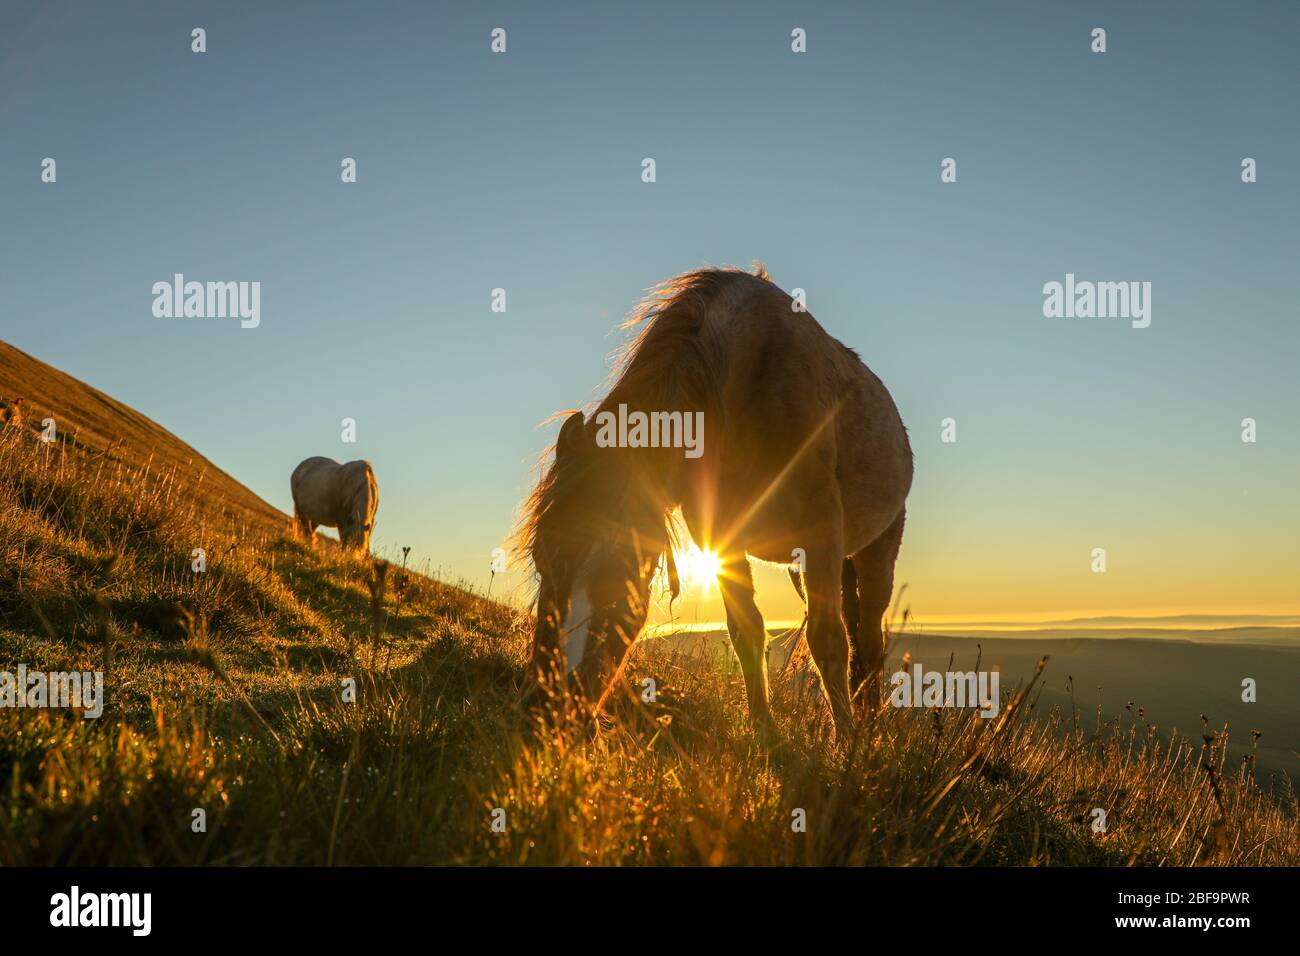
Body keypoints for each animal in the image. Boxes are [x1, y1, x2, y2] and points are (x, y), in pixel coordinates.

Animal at [517, 265, 915, 743]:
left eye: (620, 574)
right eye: (541, 558)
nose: (545, 711)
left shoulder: (820, 524)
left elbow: (827, 640)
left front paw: (846, 746)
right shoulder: (721, 535)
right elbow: (746, 630)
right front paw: (765, 733)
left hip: (877, 547)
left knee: (869, 639)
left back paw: (869, 731)